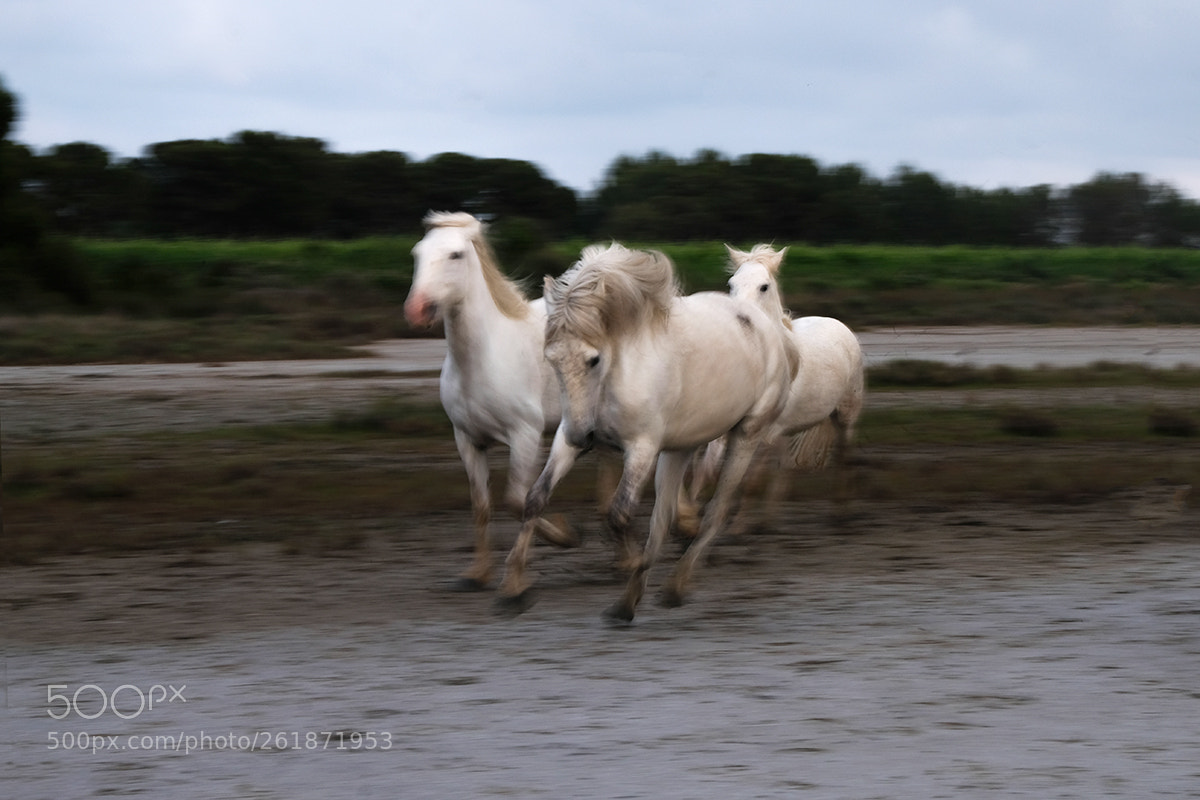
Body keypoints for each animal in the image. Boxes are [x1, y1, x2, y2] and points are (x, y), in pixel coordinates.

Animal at [403, 211, 574, 591]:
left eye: (455, 255)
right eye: (417, 253)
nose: (417, 310)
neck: (481, 361)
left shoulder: (525, 436)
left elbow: (518, 500)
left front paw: (557, 542)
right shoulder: (468, 440)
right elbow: (481, 506)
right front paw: (478, 574)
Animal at [499, 242, 798, 622]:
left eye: (593, 359)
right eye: (551, 359)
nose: (584, 438)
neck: (620, 367)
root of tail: (769, 327)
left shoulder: (642, 448)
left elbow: (618, 513)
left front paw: (628, 562)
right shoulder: (567, 436)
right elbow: (535, 499)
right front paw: (514, 590)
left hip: (746, 435)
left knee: (716, 510)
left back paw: (674, 585)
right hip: (681, 447)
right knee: (663, 518)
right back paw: (633, 598)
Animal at [683, 244, 864, 530]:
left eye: (764, 287)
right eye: (731, 284)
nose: (740, 319)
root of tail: (838, 324)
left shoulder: (761, 432)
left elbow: (747, 480)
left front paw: (737, 524)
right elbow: (706, 470)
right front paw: (688, 516)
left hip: (846, 416)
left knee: (843, 455)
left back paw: (841, 511)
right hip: (785, 431)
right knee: (783, 466)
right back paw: (769, 518)